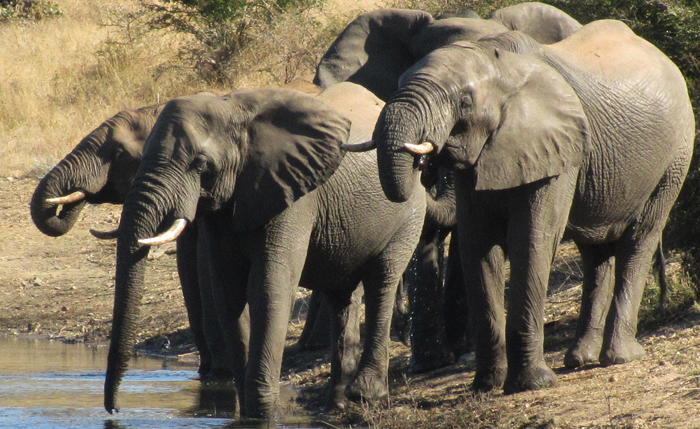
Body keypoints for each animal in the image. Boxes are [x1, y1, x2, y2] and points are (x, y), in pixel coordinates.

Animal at [104, 82, 428, 417]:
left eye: (201, 165)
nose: (114, 410)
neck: (233, 109)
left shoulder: (293, 194)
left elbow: (268, 287)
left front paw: (262, 413)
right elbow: (228, 293)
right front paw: (248, 410)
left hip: (410, 210)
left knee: (382, 282)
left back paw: (365, 394)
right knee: (342, 296)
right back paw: (334, 405)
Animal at [344, 20, 694, 394]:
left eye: (464, 102)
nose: (425, 161)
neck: (498, 64)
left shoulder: (557, 148)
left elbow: (530, 240)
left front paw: (531, 384)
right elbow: (477, 245)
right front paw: (486, 385)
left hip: (675, 157)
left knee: (640, 238)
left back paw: (619, 357)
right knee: (595, 251)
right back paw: (580, 358)